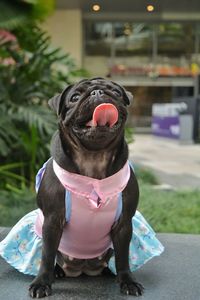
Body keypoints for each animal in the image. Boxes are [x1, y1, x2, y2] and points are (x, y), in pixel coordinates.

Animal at [28, 77, 144, 298]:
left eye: (116, 93)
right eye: (74, 97)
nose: (98, 92)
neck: (93, 157)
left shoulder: (124, 223)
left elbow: (123, 256)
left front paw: (127, 280)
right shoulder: (52, 221)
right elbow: (46, 255)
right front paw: (41, 283)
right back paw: (57, 272)